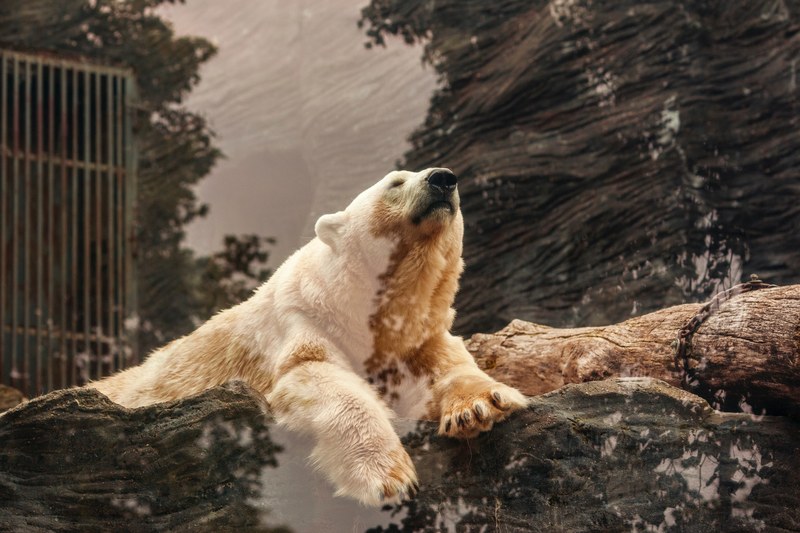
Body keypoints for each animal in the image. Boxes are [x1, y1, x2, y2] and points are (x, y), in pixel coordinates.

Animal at [89, 167, 528, 506]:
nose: (443, 179)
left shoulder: (417, 339)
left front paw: (480, 407)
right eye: (396, 182)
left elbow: (449, 366)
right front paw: (389, 478)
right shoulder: (302, 320)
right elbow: (314, 374)